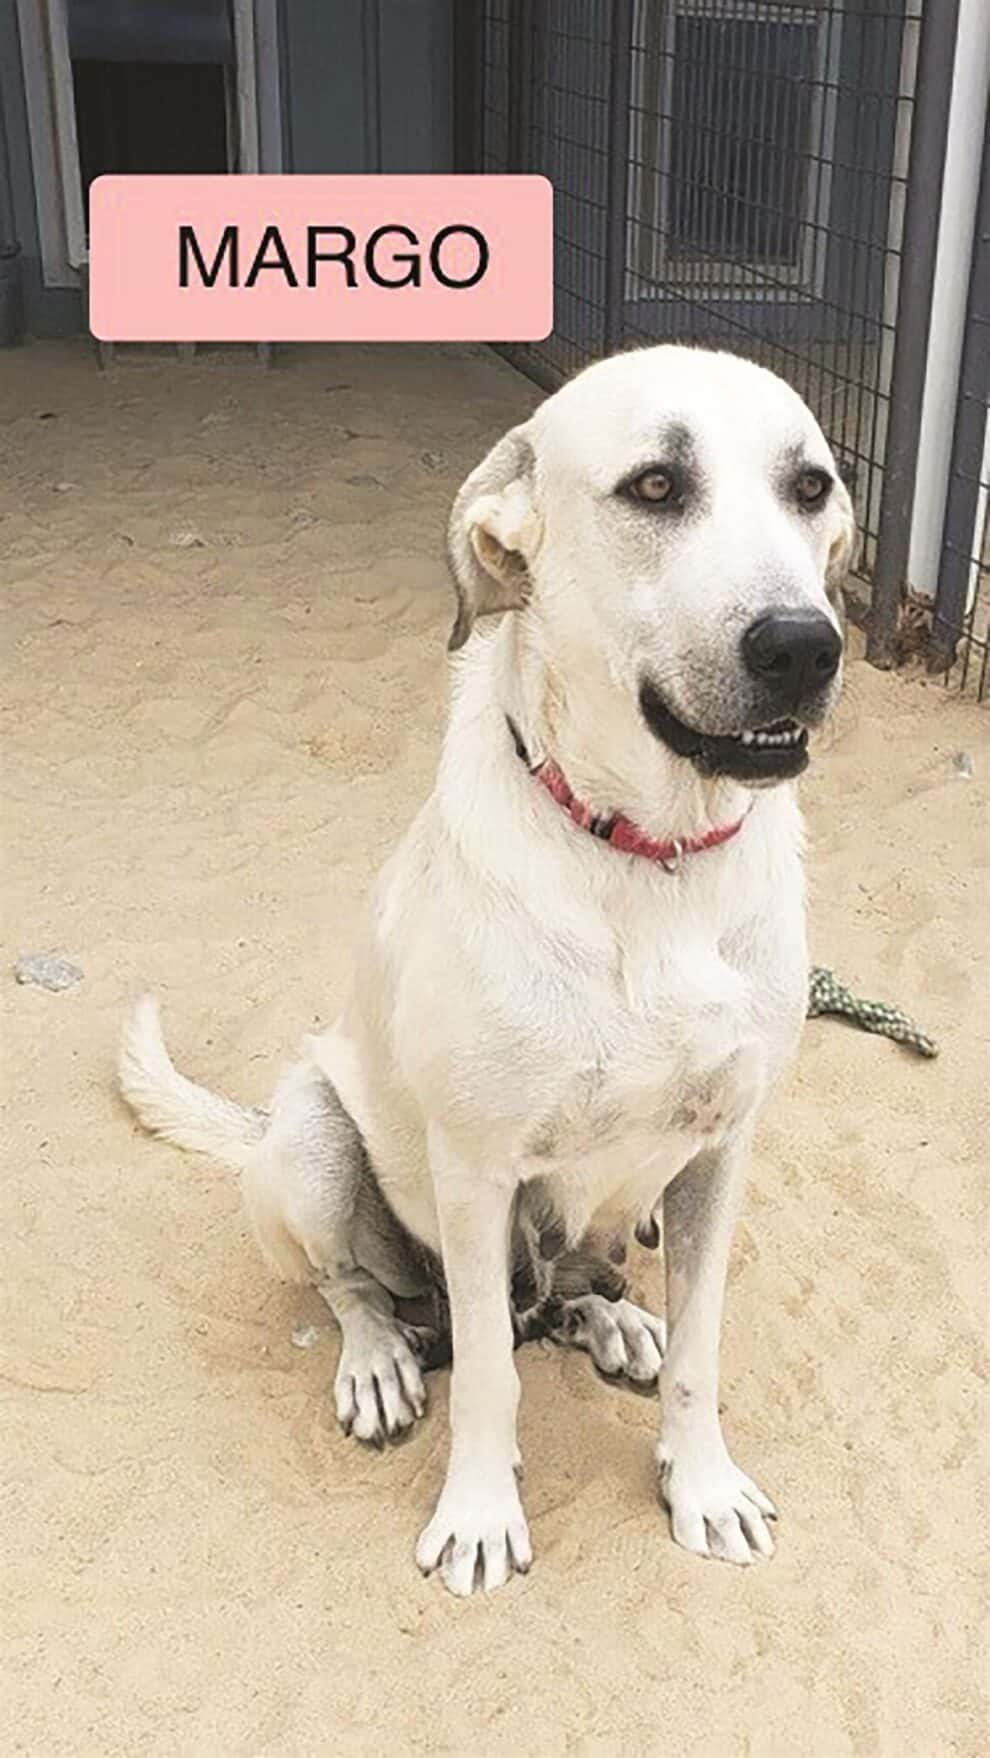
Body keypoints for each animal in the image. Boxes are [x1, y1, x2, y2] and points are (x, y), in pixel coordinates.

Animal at [122, 339, 851, 1596]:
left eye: (810, 486)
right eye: (656, 486)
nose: (805, 645)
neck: (647, 863)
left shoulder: (721, 1152)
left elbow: (704, 1348)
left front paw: (700, 1483)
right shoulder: (474, 1171)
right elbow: (492, 1385)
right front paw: (477, 1514)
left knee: (564, 1296)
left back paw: (613, 1321)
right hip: (312, 1138)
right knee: (363, 1290)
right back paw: (380, 1359)